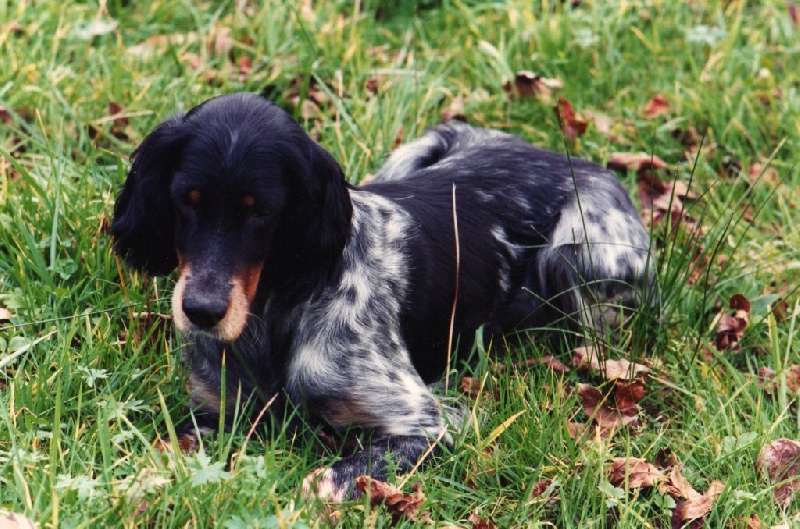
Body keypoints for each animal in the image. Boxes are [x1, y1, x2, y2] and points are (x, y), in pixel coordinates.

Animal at [111, 93, 648, 502]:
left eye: (260, 211)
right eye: (186, 199)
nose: (201, 312)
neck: (274, 314)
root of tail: (569, 157)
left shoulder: (428, 424)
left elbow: (319, 483)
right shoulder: (220, 411)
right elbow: (156, 449)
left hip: (582, 248)